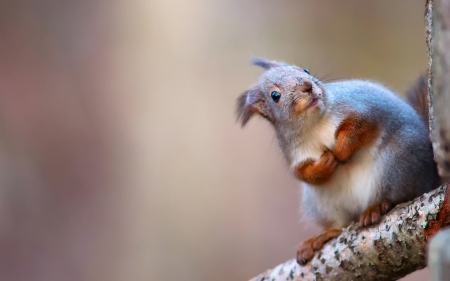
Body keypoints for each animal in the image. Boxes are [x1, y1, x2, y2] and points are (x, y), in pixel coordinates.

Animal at [237, 58, 442, 264]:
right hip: (320, 201)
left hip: (397, 160)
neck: (313, 124)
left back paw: (377, 206)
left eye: (305, 70)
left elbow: (359, 128)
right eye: (275, 95)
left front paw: (340, 152)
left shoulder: (362, 108)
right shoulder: (294, 154)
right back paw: (322, 236)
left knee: (400, 195)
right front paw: (325, 163)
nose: (307, 86)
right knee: (339, 224)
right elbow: (303, 173)